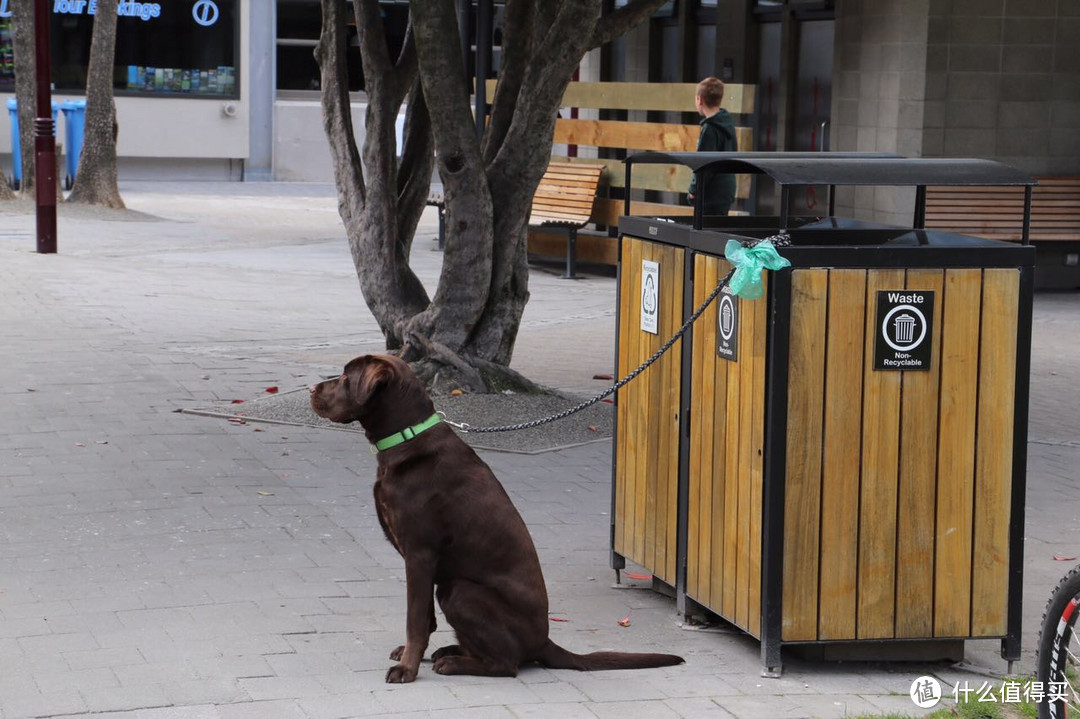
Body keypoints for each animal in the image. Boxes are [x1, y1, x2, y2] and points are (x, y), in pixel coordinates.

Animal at [311, 356, 682, 682]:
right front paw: (410, 655)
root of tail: (544, 641)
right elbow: (425, 619)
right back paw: (450, 651)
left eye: (345, 378)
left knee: (508, 664)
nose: (312, 388)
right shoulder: (421, 562)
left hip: (458, 590)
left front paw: (407, 668)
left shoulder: (419, 555)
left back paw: (455, 663)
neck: (407, 436)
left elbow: (415, 619)